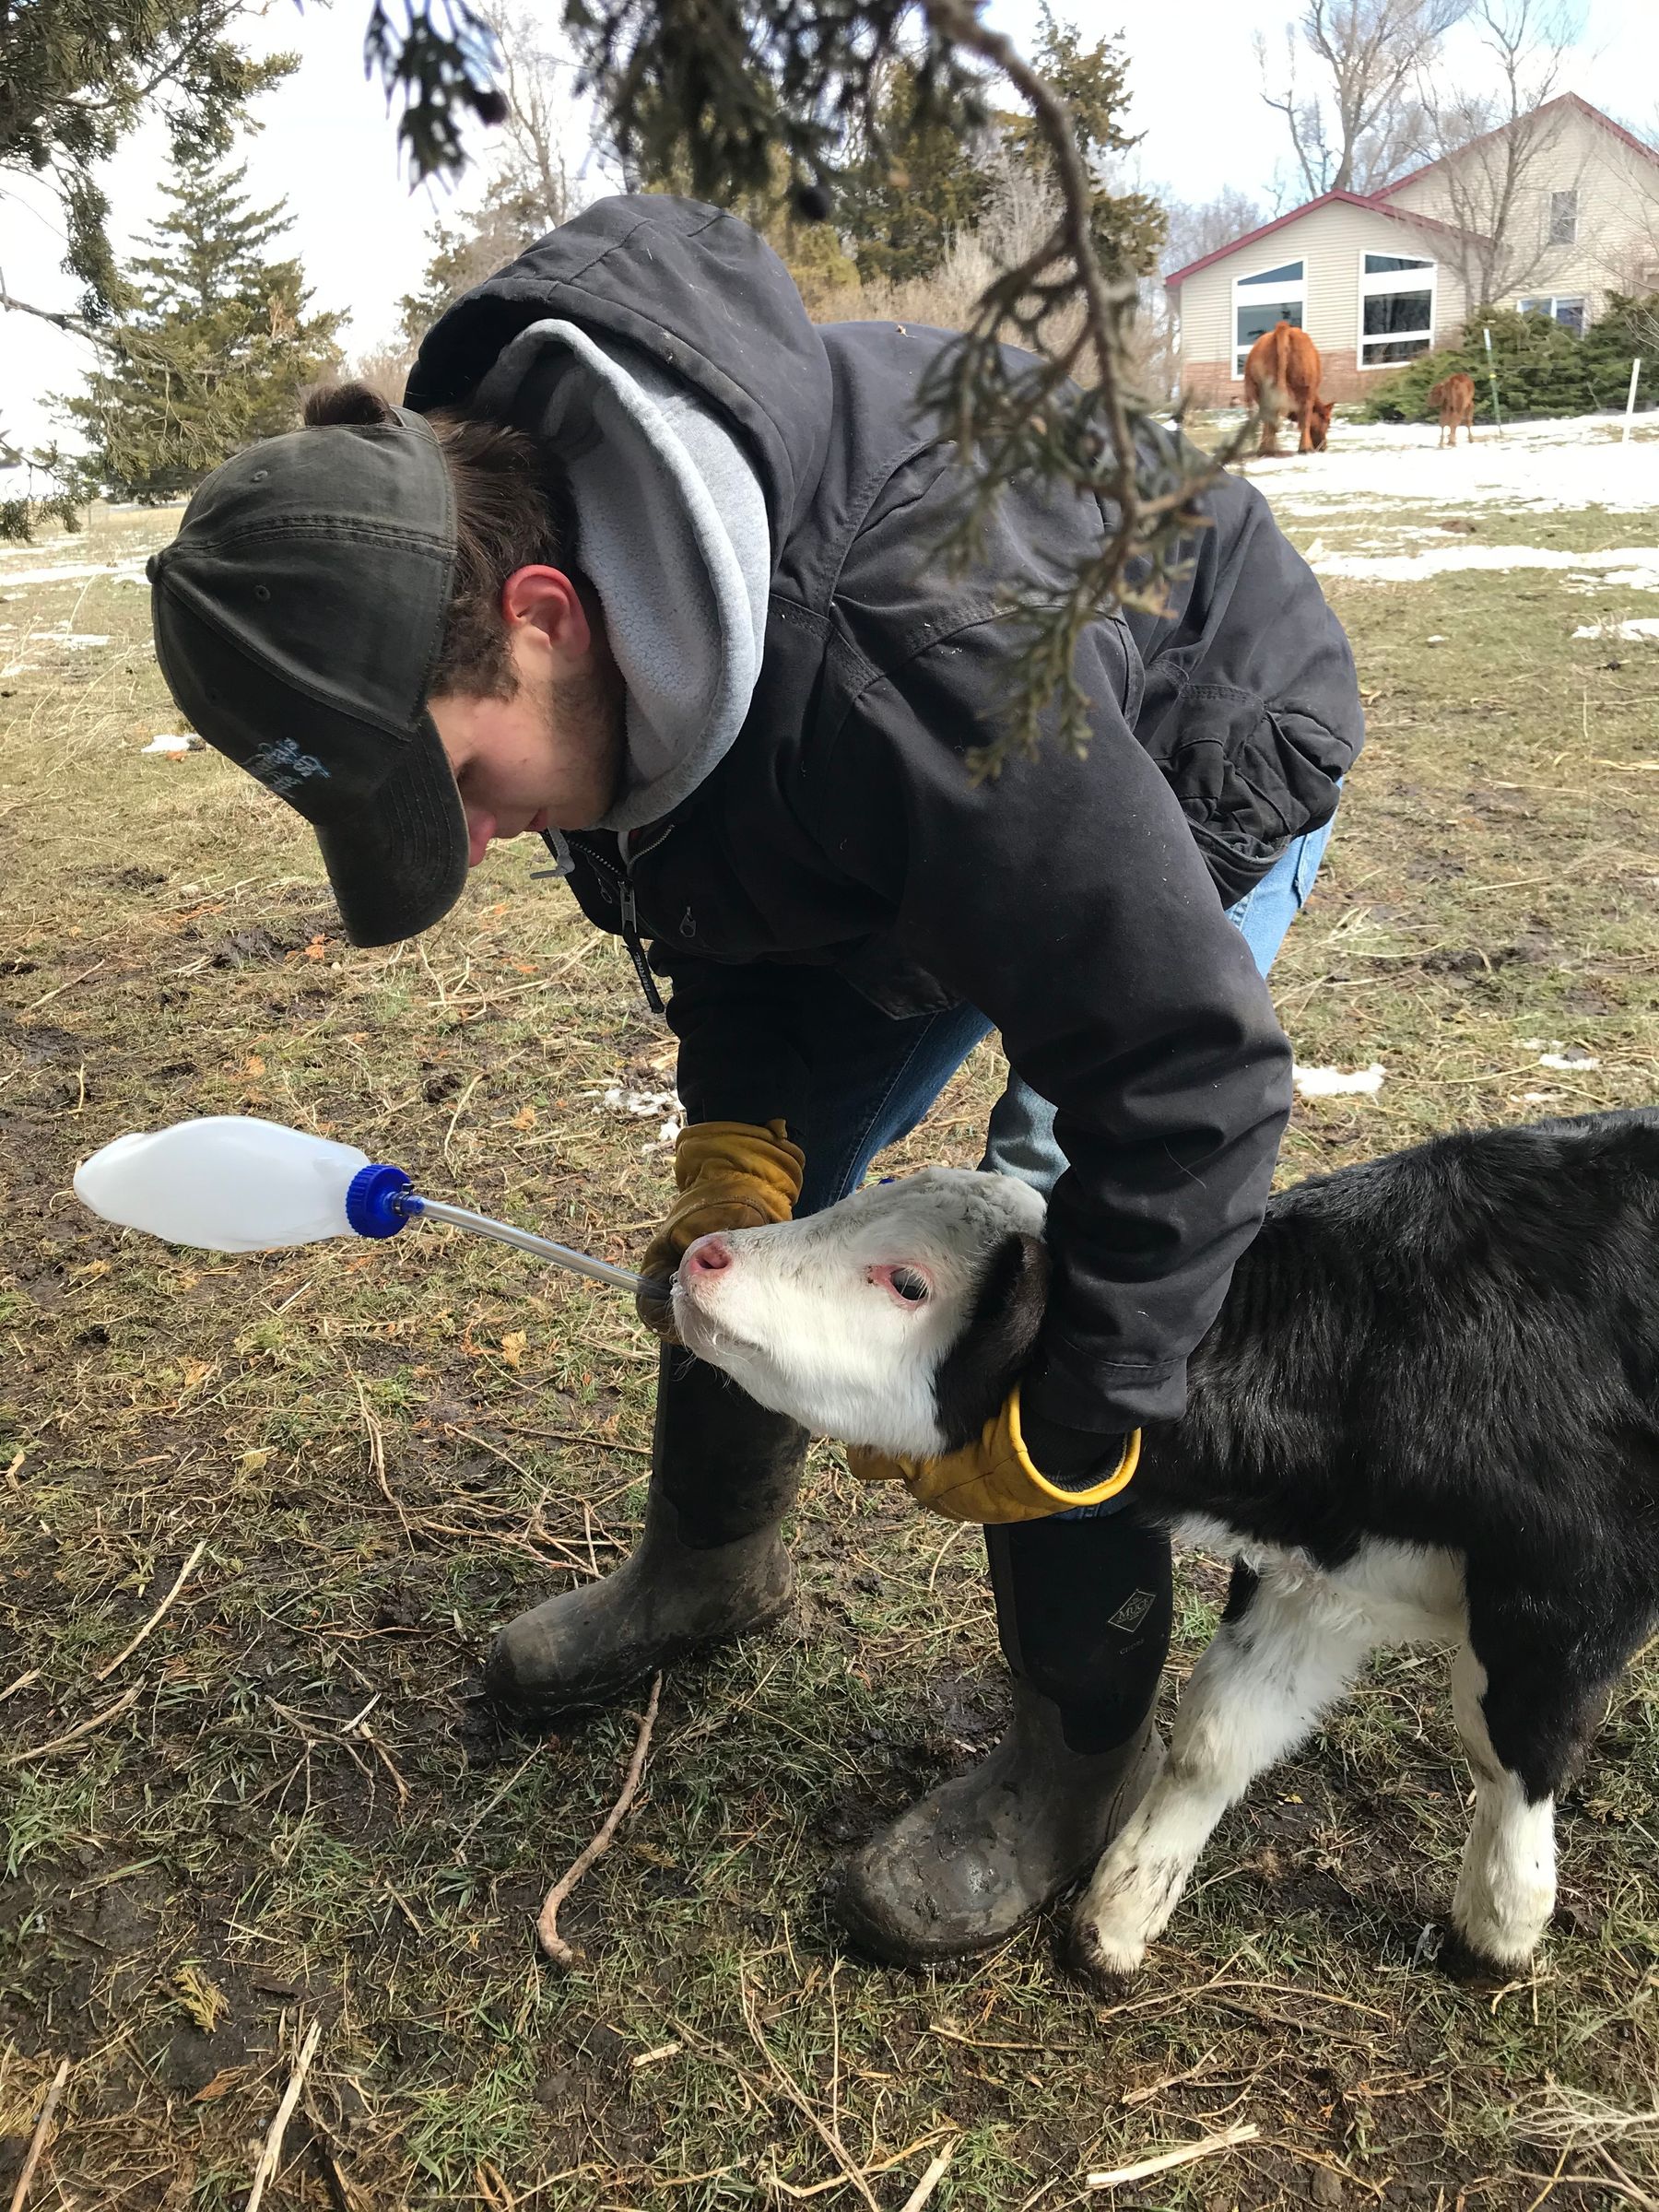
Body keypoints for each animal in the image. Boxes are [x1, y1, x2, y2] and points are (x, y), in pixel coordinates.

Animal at [672, 1113, 1659, 1987]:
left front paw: (1500, 1930)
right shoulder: (1311, 1581)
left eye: (908, 1285)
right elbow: (1216, 1737)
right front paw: (1117, 1917)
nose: (703, 1255)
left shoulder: (1572, 1597)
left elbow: (1513, 1750)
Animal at [1243, 321, 1330, 457]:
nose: (1324, 447)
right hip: (1305, 389)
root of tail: (1284, 327)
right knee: (1304, 419)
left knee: (1267, 420)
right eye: (1328, 422)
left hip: (1260, 390)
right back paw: (1305, 448)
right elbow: (1306, 420)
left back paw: (1266, 449)